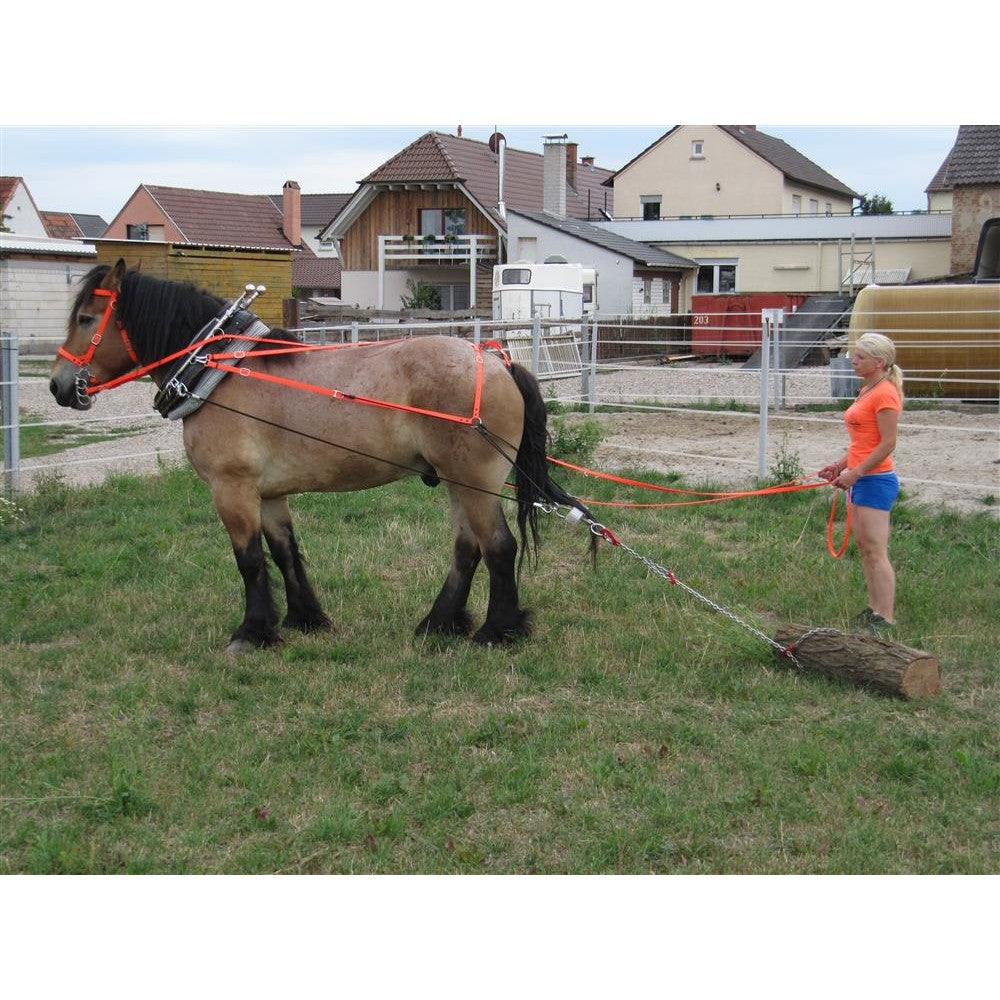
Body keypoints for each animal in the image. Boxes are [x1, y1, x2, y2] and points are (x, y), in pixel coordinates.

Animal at [49, 260, 592, 654]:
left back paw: (497, 631)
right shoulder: (268, 494)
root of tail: (495, 362)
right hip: (461, 483)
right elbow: (285, 554)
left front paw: (252, 632)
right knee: (468, 549)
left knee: (498, 547)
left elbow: (248, 560)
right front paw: (304, 618)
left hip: (474, 481)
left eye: (85, 319)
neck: (220, 373)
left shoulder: (232, 488)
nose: (57, 385)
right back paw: (439, 624)